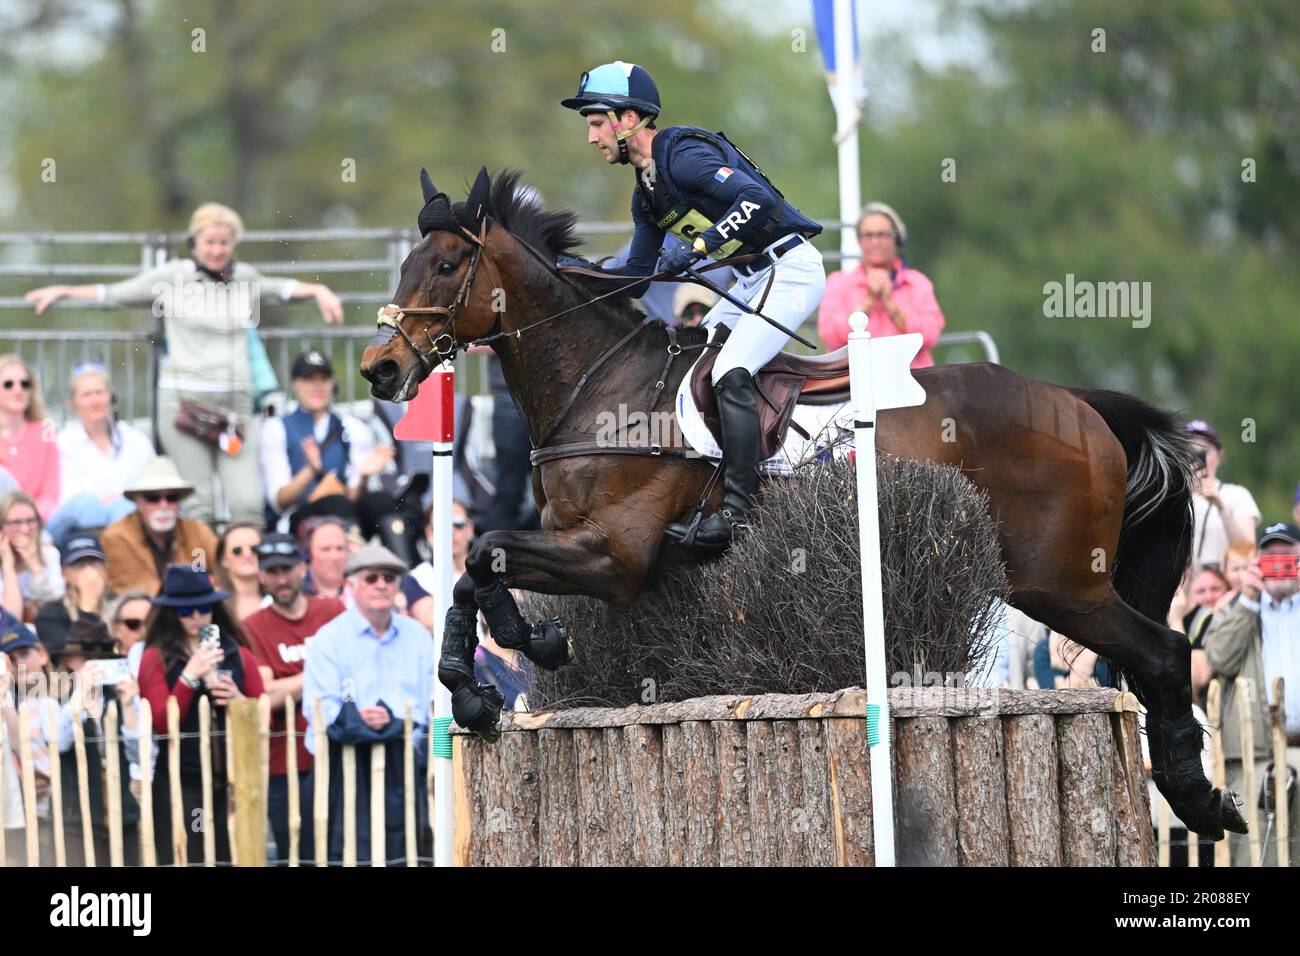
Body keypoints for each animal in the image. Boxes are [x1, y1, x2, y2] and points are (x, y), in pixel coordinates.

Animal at [358, 167, 1248, 842]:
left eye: (445, 266)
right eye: (407, 264)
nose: (379, 368)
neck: (600, 384)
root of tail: (1078, 402)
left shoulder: (614, 556)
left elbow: (482, 555)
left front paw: (511, 655)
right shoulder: (584, 547)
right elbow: (476, 566)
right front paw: (494, 668)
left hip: (1060, 581)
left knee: (1166, 653)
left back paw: (1203, 802)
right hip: (1062, 585)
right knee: (1154, 660)